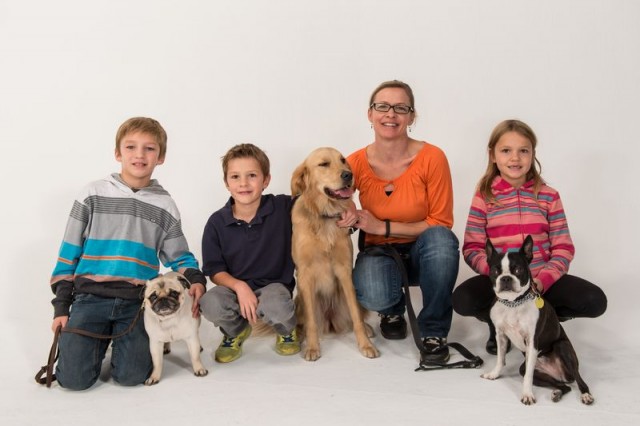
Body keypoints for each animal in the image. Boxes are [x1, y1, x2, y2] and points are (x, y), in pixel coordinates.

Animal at [482, 236, 592, 406]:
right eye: (495, 271)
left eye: (518, 270)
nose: (506, 278)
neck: (513, 303)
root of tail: (560, 374)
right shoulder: (501, 336)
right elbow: (500, 359)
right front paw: (494, 374)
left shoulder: (532, 340)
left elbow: (528, 375)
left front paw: (527, 395)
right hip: (534, 372)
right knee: (564, 386)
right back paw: (557, 392)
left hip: (562, 348)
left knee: (579, 380)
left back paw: (585, 394)